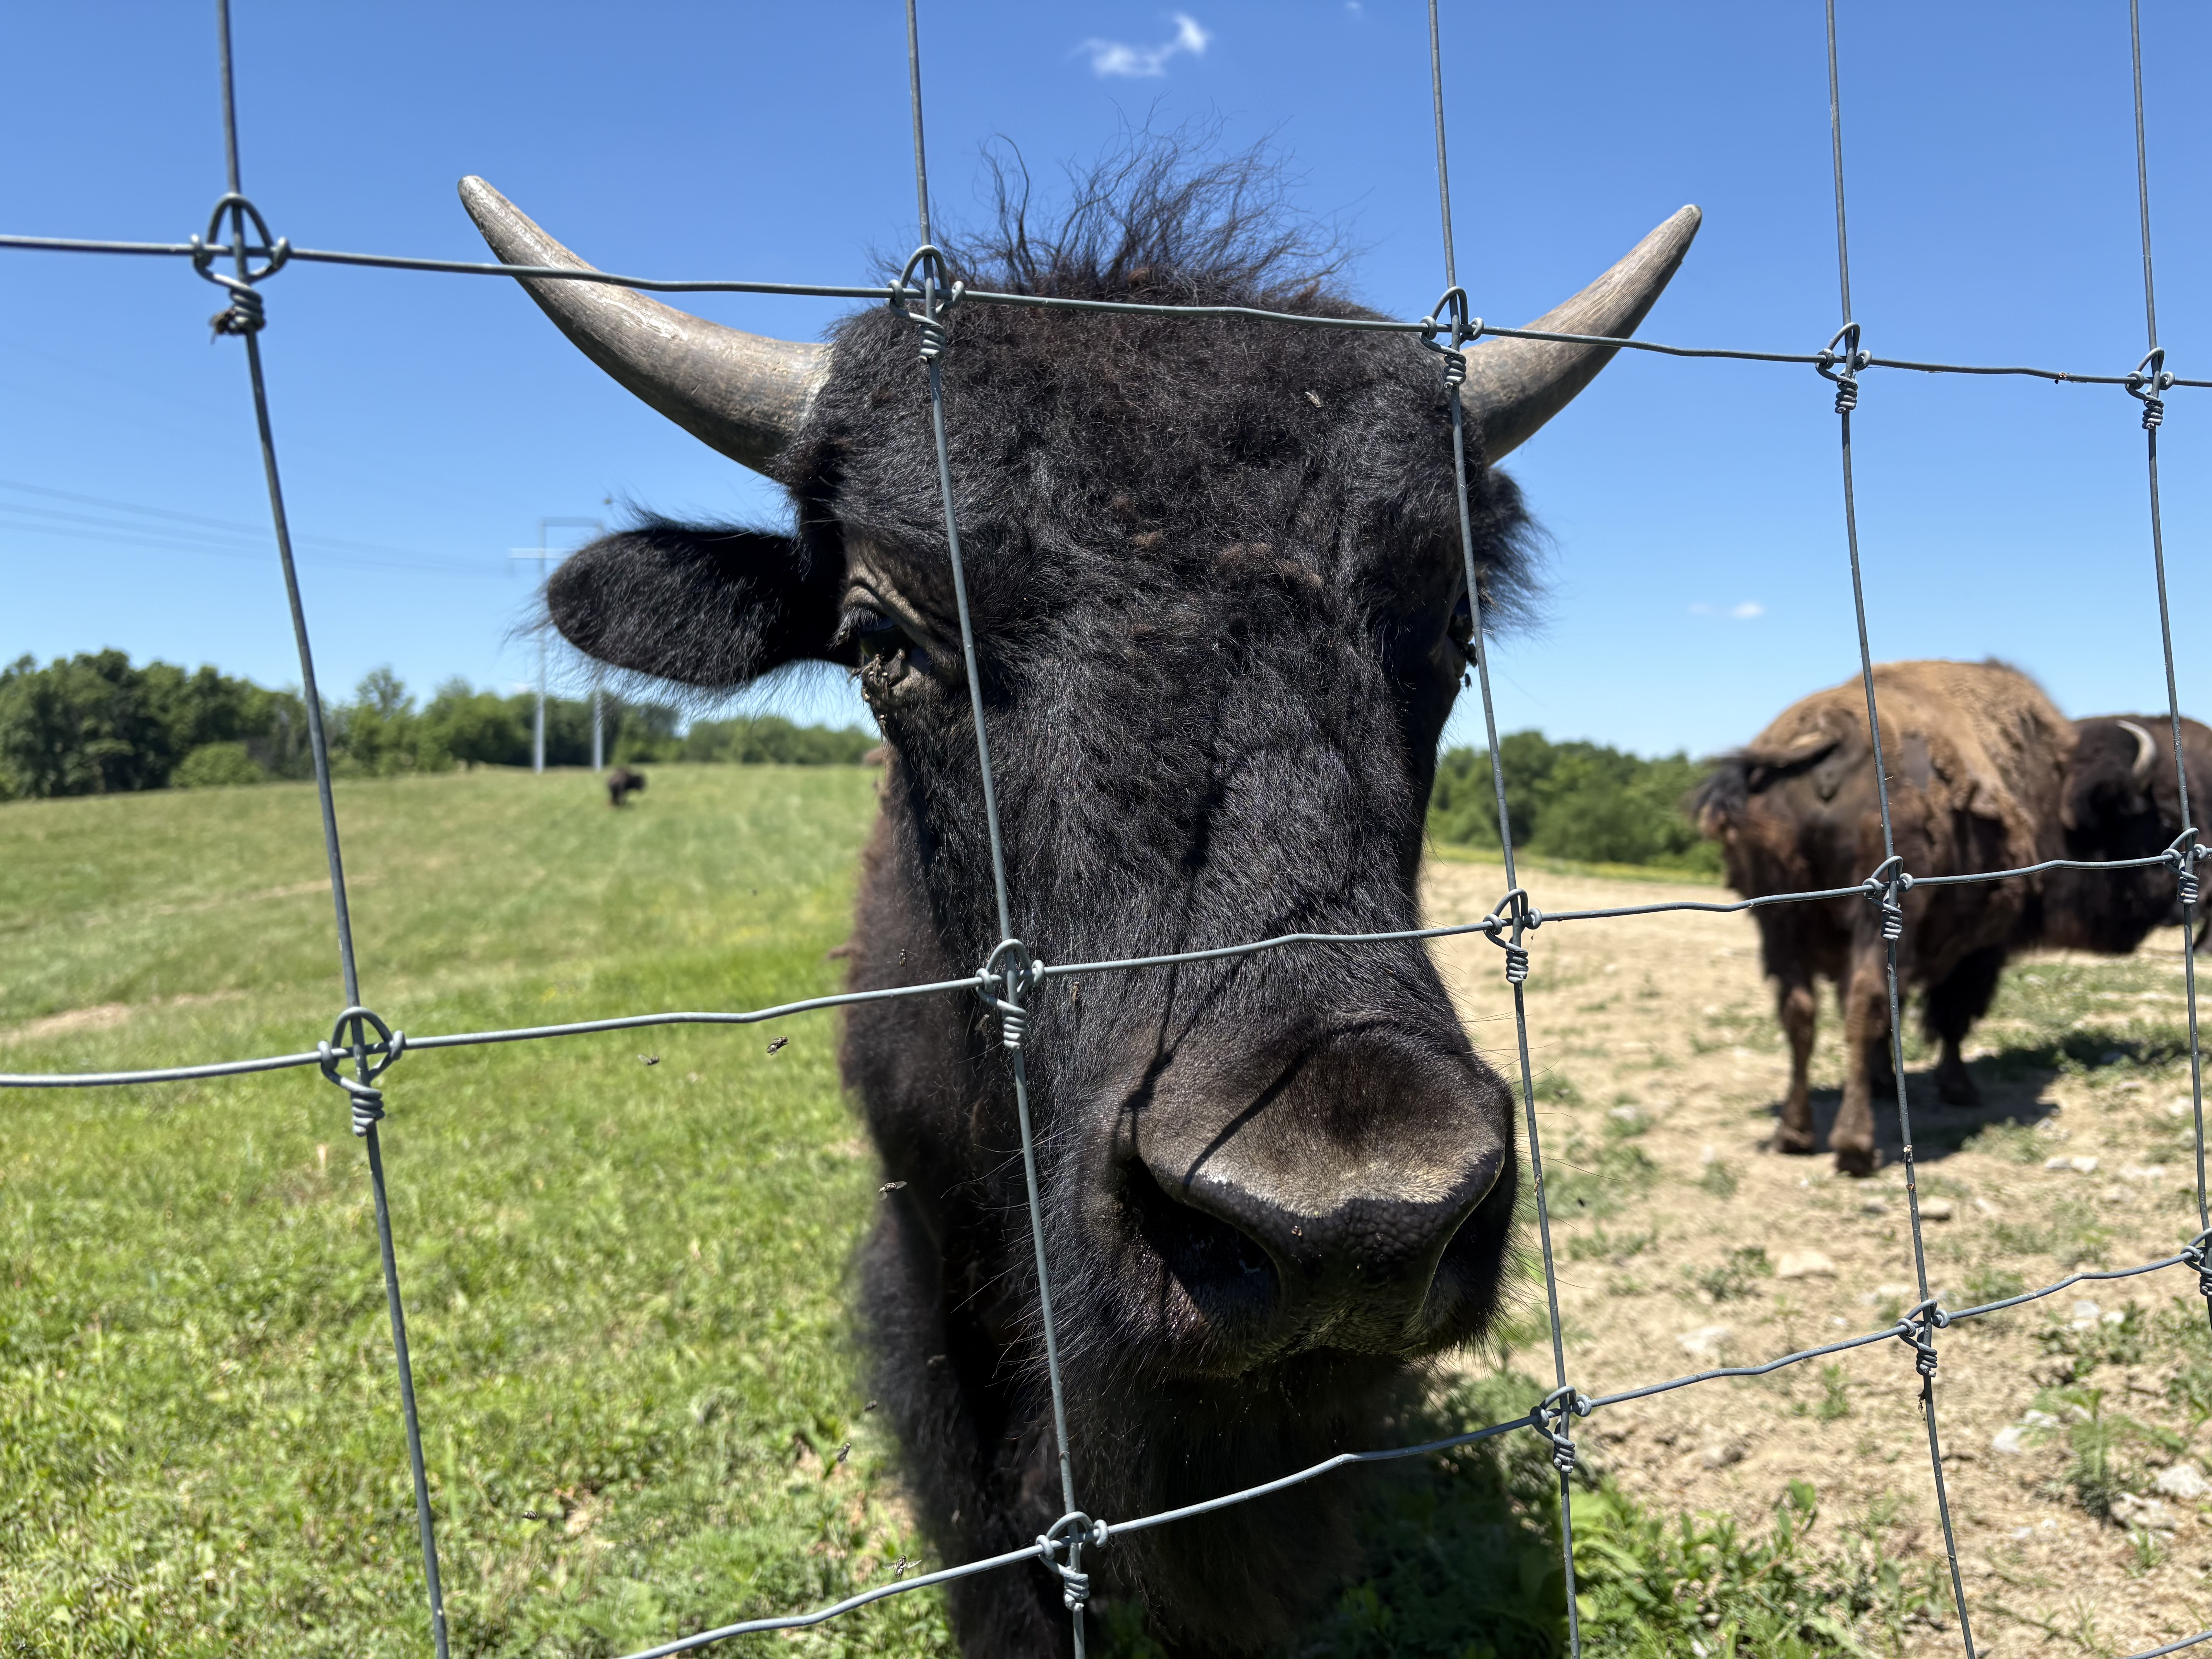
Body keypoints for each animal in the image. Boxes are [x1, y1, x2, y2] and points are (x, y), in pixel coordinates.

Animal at [1695, 660, 2206, 1176]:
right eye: (2155, 821)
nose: (2177, 904)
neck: (2057, 789)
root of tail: (1827, 734)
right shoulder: (1981, 950)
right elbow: (1953, 1015)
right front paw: (1960, 1089)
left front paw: (1887, 1082)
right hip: (1876, 916)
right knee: (1865, 1004)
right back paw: (1855, 1146)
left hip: (1779, 920)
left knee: (1800, 1011)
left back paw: (1795, 1134)